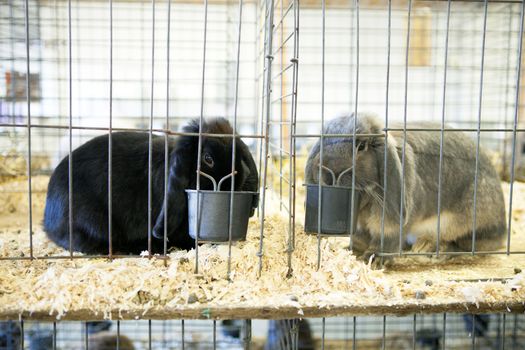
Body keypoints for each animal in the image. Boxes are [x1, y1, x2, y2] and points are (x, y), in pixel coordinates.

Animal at [304, 114, 506, 266]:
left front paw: (375, 259)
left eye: (361, 146)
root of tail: (502, 228)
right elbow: (361, 237)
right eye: (323, 141)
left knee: (465, 245)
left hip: (465, 218)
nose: (330, 173)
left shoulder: (390, 218)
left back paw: (430, 248)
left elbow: (387, 236)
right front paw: (351, 249)